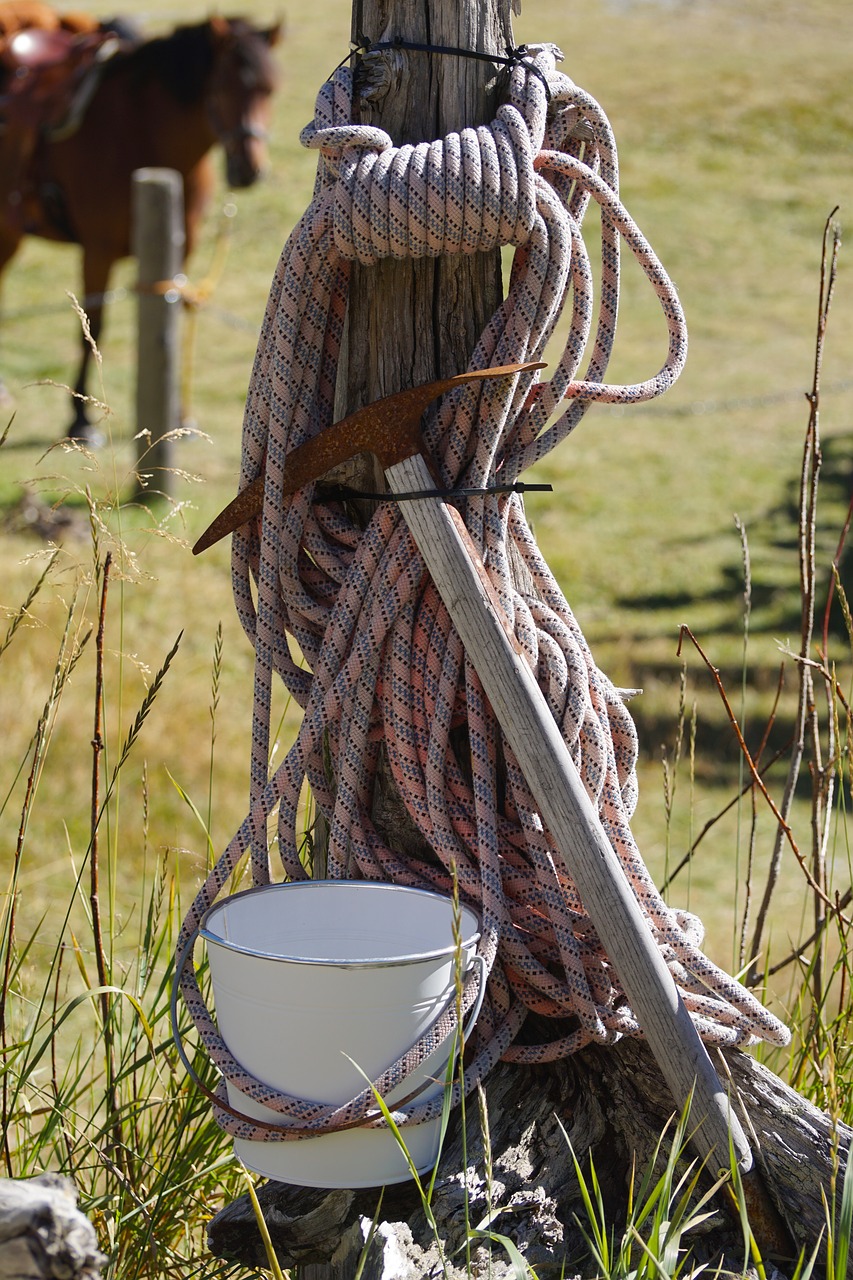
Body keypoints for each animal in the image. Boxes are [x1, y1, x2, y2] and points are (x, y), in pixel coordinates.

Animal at [0, 11, 279, 440]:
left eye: (270, 89)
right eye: (222, 87)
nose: (250, 169)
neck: (143, 134)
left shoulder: (180, 249)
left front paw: (179, 414)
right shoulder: (97, 251)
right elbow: (93, 327)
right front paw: (80, 418)